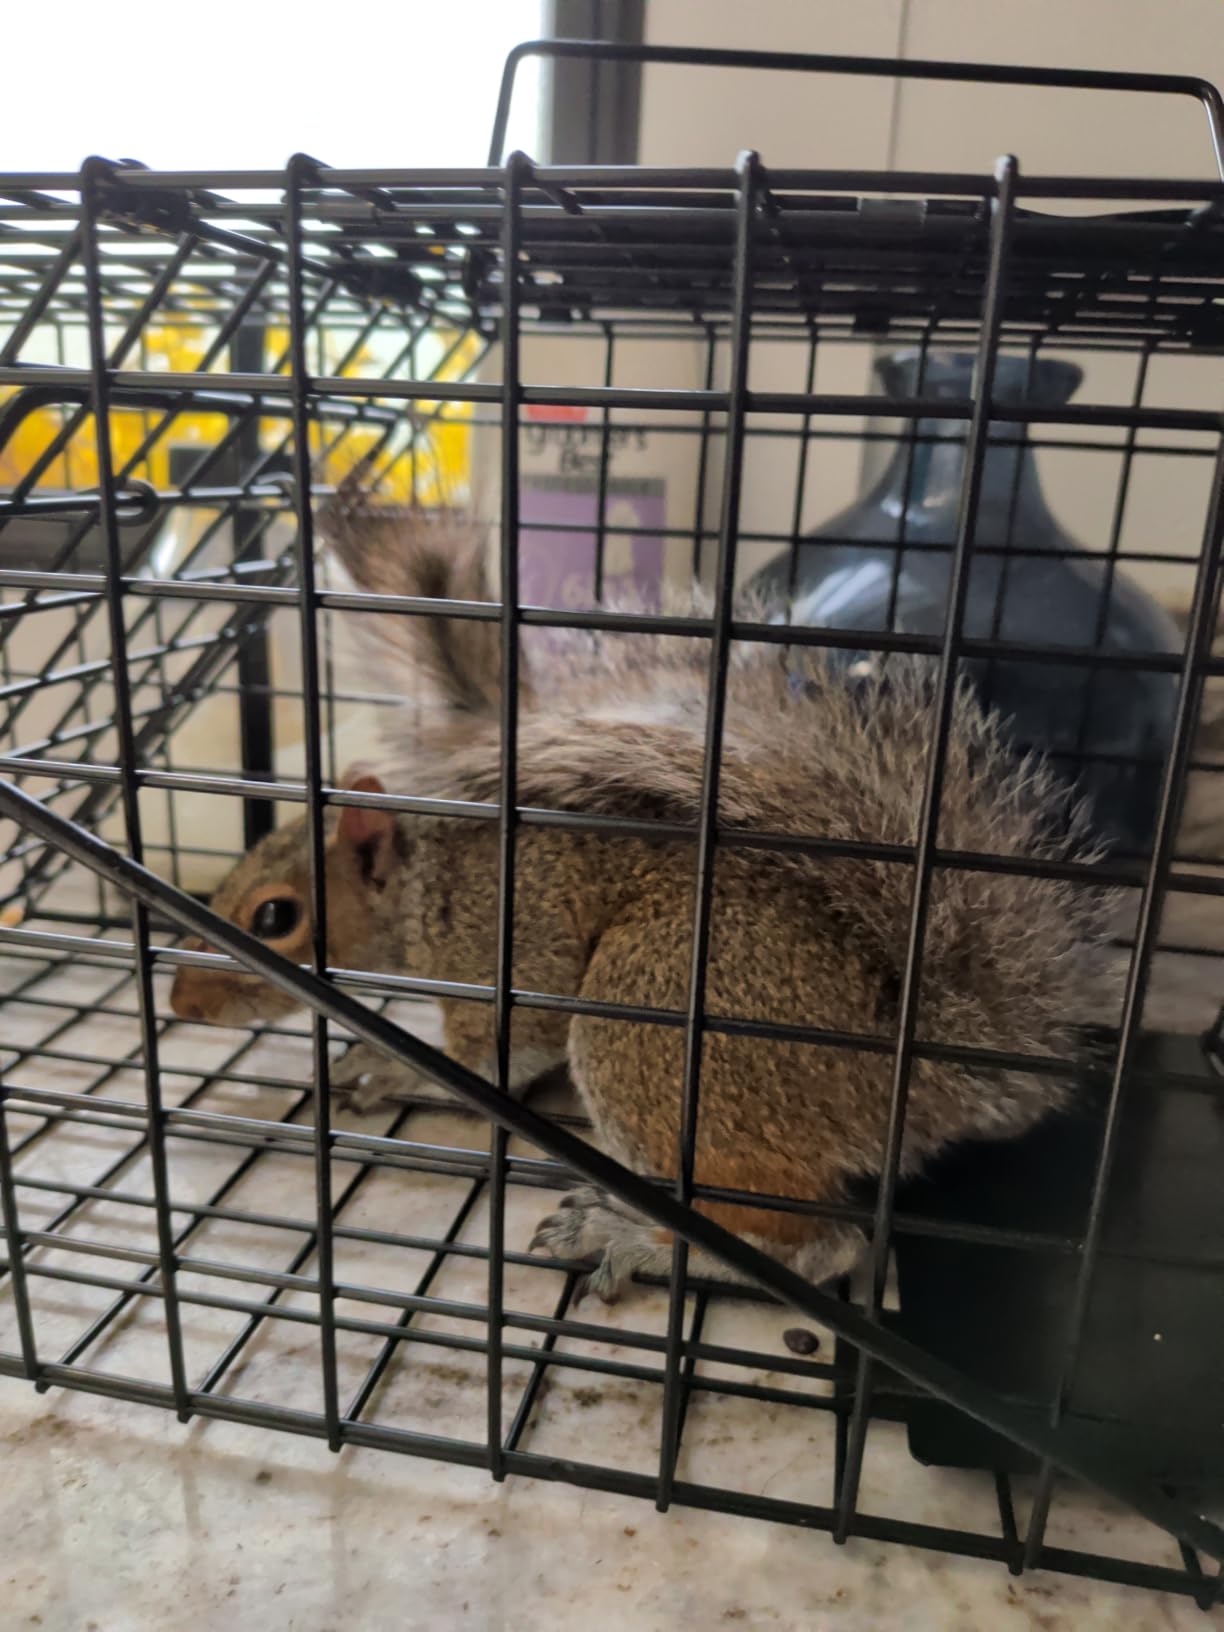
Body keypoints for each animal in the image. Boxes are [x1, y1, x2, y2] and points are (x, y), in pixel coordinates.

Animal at [169, 502, 1119, 1304]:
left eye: (275, 918)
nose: (180, 1003)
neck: (424, 886)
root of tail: (901, 1067)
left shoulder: (505, 952)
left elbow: (495, 1060)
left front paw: (394, 1065)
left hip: (647, 1027)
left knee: (814, 1240)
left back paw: (632, 1241)